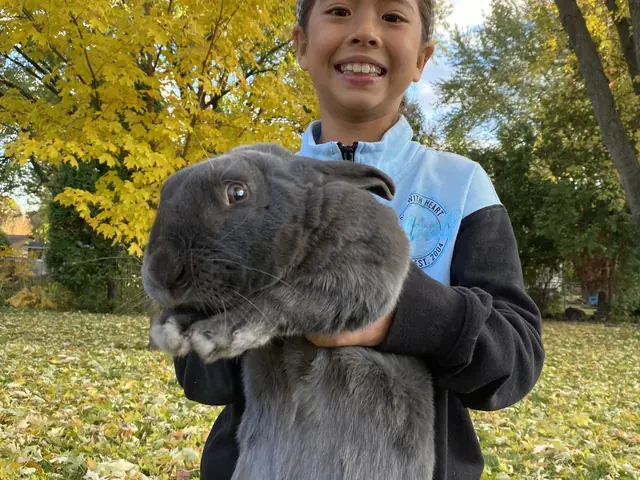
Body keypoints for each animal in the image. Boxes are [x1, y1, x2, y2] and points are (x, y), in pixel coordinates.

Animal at [142, 143, 435, 480]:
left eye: (238, 192)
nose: (162, 271)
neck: (311, 214)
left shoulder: (358, 270)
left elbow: (281, 300)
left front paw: (218, 335)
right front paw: (170, 328)